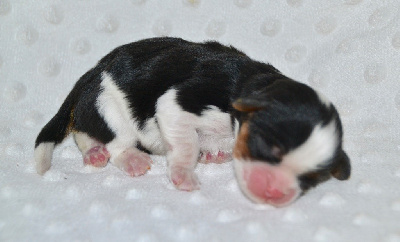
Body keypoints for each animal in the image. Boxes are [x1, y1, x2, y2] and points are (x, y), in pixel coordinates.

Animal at [36, 36, 352, 207]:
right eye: (269, 148)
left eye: (311, 179)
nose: (274, 193)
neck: (252, 83)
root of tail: (92, 72)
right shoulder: (180, 102)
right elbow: (187, 144)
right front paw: (184, 173)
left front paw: (215, 151)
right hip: (111, 108)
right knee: (113, 140)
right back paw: (128, 158)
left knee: (83, 129)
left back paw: (94, 152)